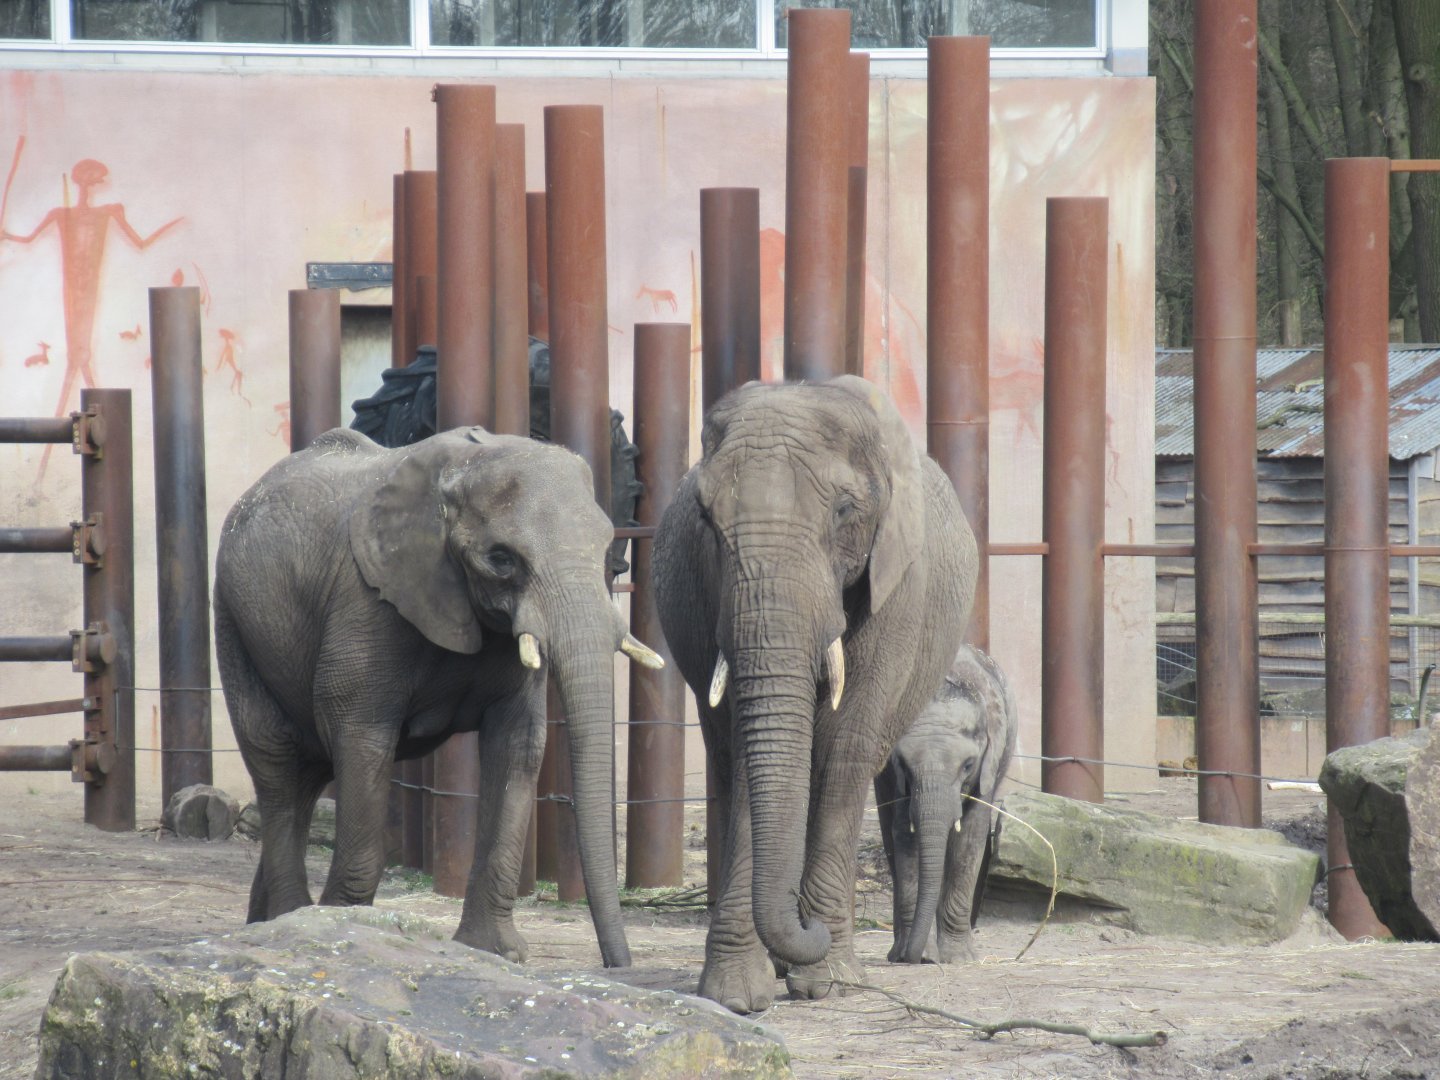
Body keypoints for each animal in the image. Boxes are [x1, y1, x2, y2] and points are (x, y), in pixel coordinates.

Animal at [214, 426, 661, 969]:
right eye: (501, 559)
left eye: (606, 552)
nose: (619, 964)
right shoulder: (366, 602)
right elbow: (363, 740)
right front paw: (343, 928)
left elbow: (518, 745)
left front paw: (493, 952)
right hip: (233, 620)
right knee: (276, 762)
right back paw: (286, 919)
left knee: (305, 777)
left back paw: (259, 926)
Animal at [651, 375, 977, 1013]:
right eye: (705, 519)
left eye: (844, 512)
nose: (810, 930)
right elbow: (750, 751)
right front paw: (737, 995)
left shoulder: (897, 586)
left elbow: (846, 748)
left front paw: (827, 980)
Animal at [877, 643, 1017, 965]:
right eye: (903, 764)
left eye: (967, 765)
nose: (917, 958)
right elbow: (904, 836)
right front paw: (924, 956)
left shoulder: (987, 767)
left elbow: (970, 839)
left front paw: (958, 958)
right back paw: (897, 951)